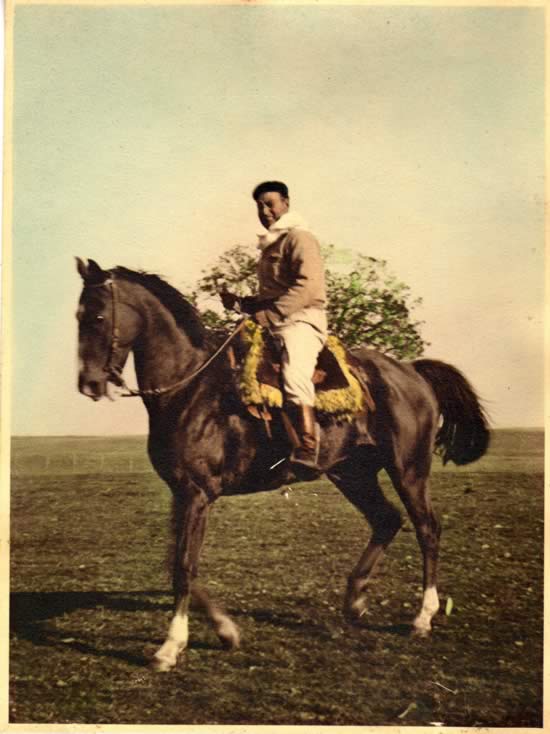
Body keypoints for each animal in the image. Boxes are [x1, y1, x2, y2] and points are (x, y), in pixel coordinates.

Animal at [74, 258, 492, 672]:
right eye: (78, 316)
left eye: (97, 316)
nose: (88, 384)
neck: (190, 388)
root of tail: (412, 371)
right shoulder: (182, 493)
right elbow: (177, 563)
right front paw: (226, 631)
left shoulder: (196, 493)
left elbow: (183, 567)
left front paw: (171, 646)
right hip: (353, 474)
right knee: (386, 519)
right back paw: (355, 598)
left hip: (409, 470)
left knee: (427, 529)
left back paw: (422, 617)